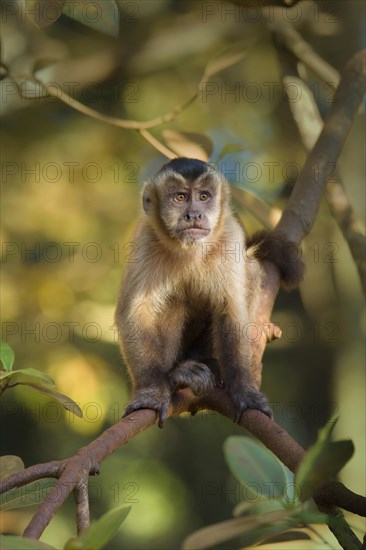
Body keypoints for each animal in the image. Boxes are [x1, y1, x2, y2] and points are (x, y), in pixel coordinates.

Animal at [116, 157, 304, 430]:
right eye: (180, 197)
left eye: (204, 196)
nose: (194, 214)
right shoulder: (145, 240)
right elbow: (134, 313)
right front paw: (152, 392)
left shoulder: (231, 236)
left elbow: (231, 312)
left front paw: (244, 392)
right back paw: (177, 376)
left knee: (250, 271)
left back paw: (208, 363)